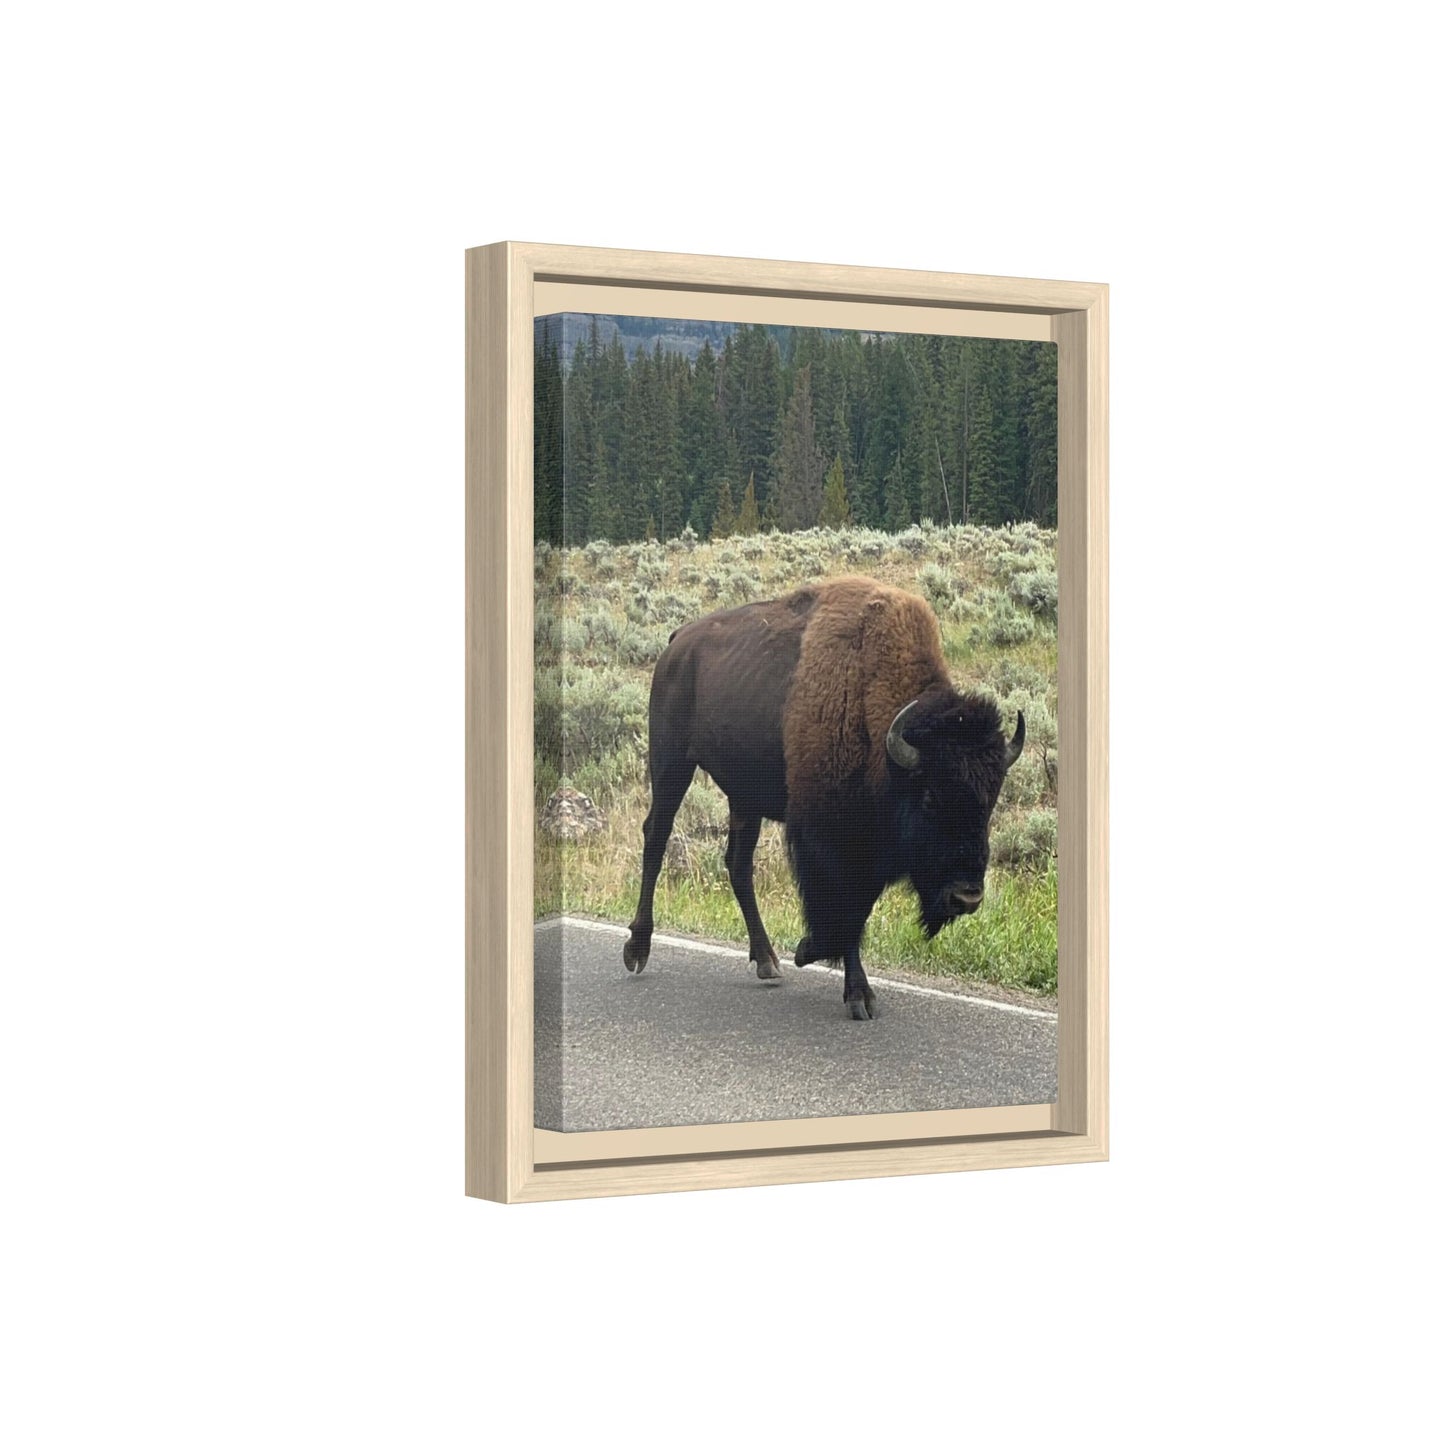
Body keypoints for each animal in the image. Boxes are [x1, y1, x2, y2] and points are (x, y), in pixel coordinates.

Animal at [623, 575, 1024, 1019]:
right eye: (930, 798)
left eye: (990, 801)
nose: (966, 896)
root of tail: (677, 642)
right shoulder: (830, 840)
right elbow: (843, 909)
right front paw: (854, 991)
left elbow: (857, 910)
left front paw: (811, 954)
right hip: (671, 765)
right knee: (656, 838)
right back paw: (637, 949)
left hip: (744, 797)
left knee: (738, 864)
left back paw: (767, 960)